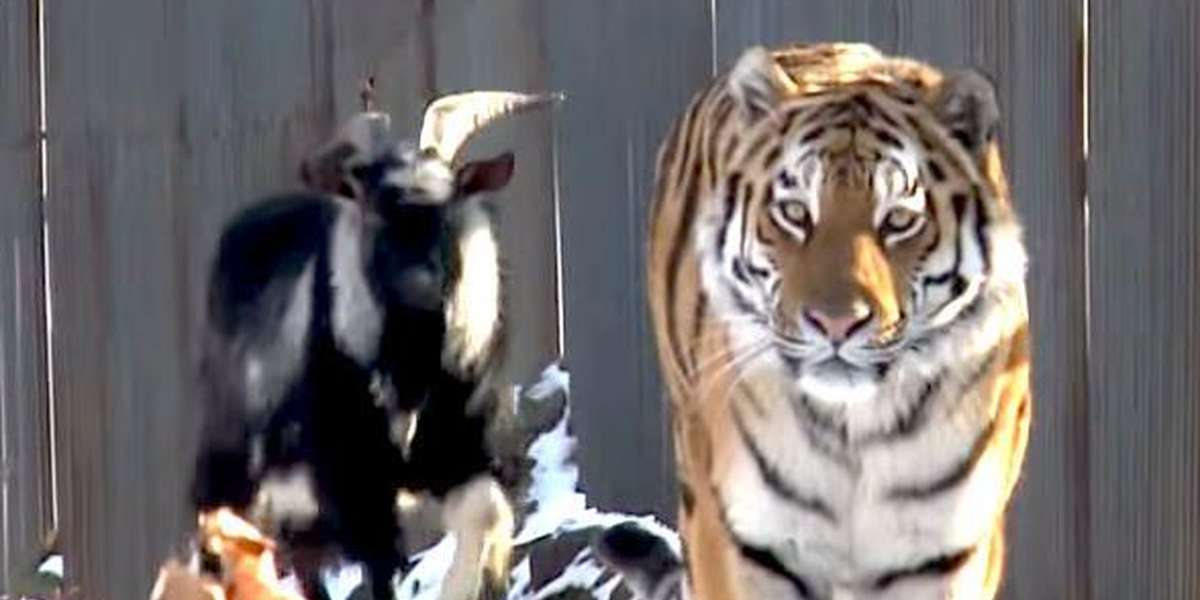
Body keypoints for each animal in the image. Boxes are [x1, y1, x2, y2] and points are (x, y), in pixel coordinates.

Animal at [189, 91, 560, 600]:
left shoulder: (464, 452)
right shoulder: (355, 483)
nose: (419, 285)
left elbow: (486, 517)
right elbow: (381, 567)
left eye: (449, 204)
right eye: (374, 210)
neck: (410, 371)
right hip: (235, 471)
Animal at [642, 43, 1031, 599]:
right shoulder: (745, 542)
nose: (835, 323)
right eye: (794, 212)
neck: (856, 430)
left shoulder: (942, 552)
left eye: (899, 220)